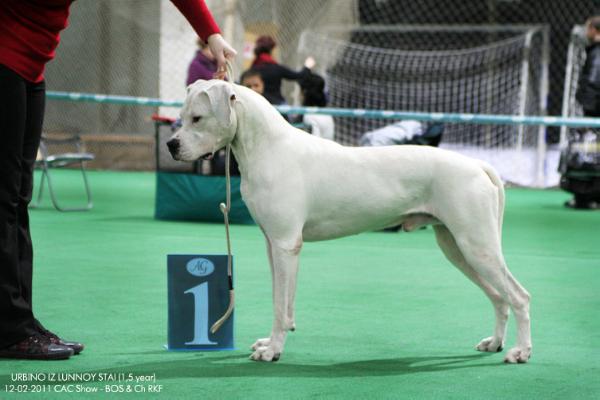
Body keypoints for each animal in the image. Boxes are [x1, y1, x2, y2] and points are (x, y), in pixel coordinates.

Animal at [166, 78, 532, 362]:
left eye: (197, 118)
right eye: (181, 117)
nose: (171, 145)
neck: (267, 148)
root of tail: (477, 165)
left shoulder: (285, 245)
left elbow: (280, 306)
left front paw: (273, 351)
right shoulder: (275, 245)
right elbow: (281, 300)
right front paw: (271, 342)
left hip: (477, 246)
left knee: (519, 296)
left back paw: (520, 352)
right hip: (456, 247)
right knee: (499, 298)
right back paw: (495, 343)